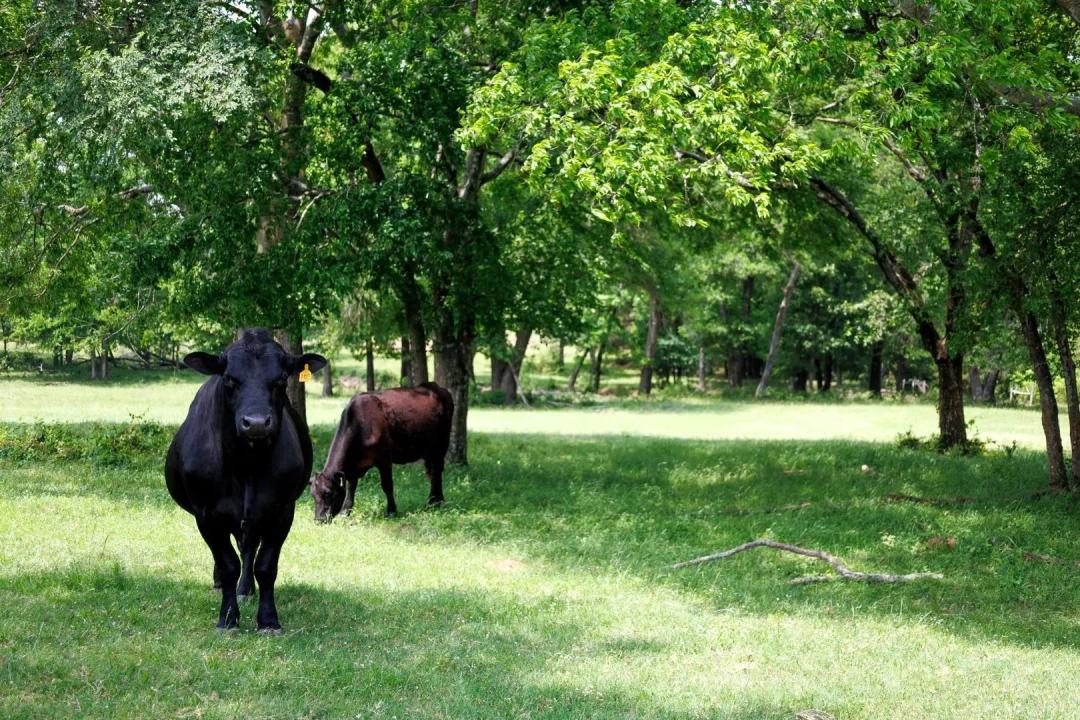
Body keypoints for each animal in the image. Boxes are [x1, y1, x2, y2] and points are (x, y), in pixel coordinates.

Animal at [165, 328, 326, 632]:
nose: (257, 423)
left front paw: (268, 619)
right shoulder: (206, 514)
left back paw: (245, 588)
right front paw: (227, 618)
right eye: (229, 378)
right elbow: (227, 563)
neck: (245, 466)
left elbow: (265, 565)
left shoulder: (281, 510)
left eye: (281, 379)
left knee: (248, 548)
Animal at [310, 382, 453, 522]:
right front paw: (345, 512)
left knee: (437, 471)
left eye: (328, 493)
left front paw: (391, 511)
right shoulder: (352, 467)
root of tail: (436, 387)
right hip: (428, 449)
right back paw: (433, 501)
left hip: (442, 444)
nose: (319, 519)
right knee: (431, 472)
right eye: (312, 495)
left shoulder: (384, 459)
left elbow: (387, 485)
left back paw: (435, 502)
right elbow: (351, 487)